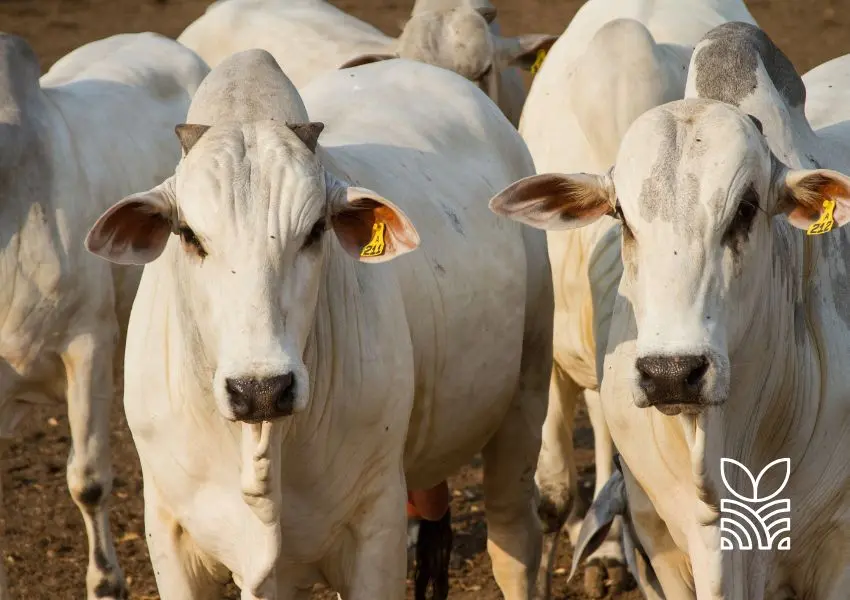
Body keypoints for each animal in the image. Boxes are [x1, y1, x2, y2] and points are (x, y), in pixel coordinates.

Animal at [84, 51, 548, 600]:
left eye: (315, 230)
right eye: (189, 235)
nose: (261, 390)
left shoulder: (376, 527)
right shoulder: (170, 534)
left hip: (525, 401)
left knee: (514, 542)